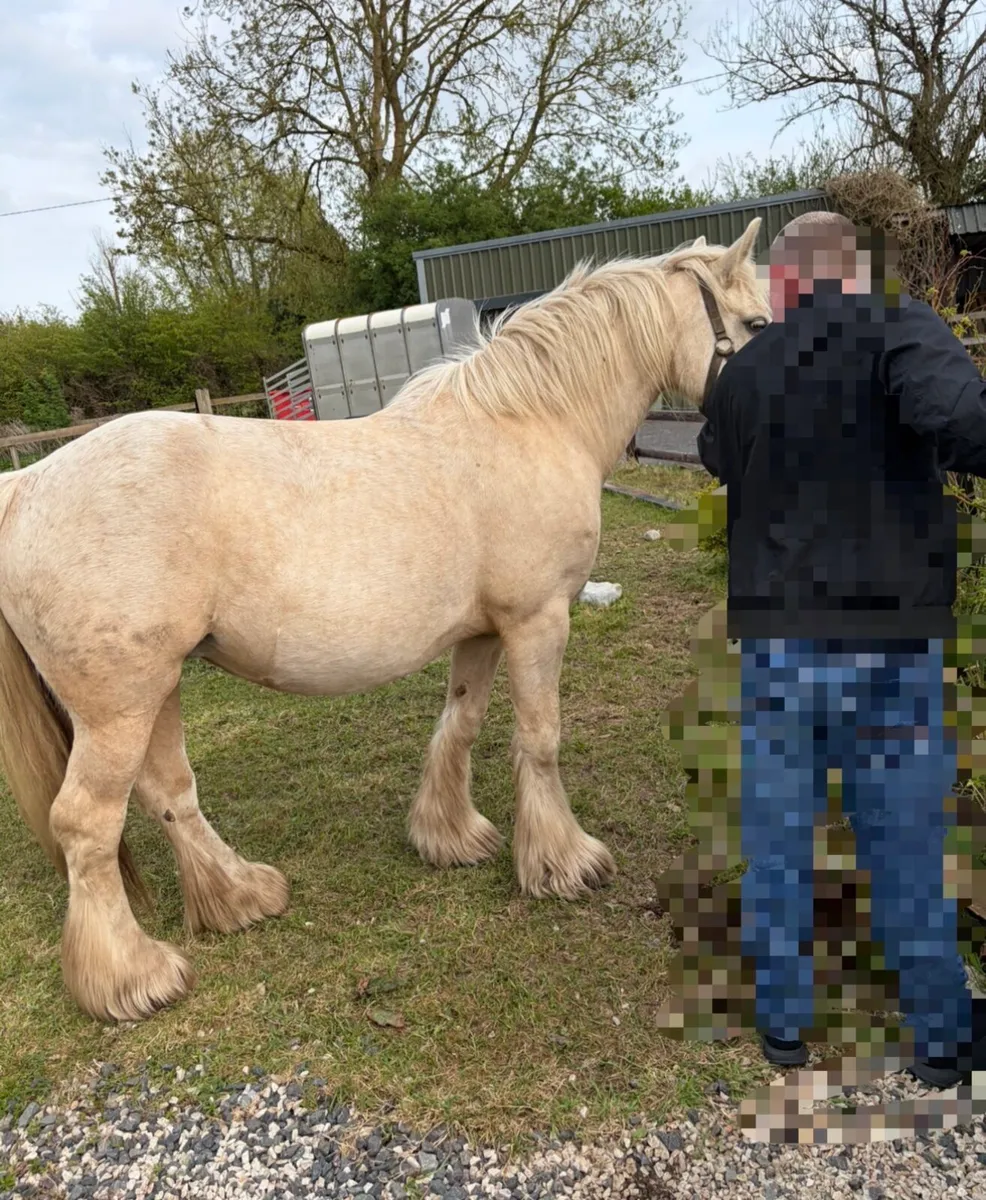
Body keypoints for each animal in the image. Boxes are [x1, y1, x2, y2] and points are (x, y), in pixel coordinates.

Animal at [0, 219, 768, 1022]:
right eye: (756, 325)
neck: (529, 423)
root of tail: (26, 484)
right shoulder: (537, 621)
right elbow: (540, 739)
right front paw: (564, 863)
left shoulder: (483, 632)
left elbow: (459, 725)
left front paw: (451, 836)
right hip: (118, 707)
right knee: (87, 825)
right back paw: (133, 978)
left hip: (158, 689)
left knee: (169, 794)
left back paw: (239, 897)